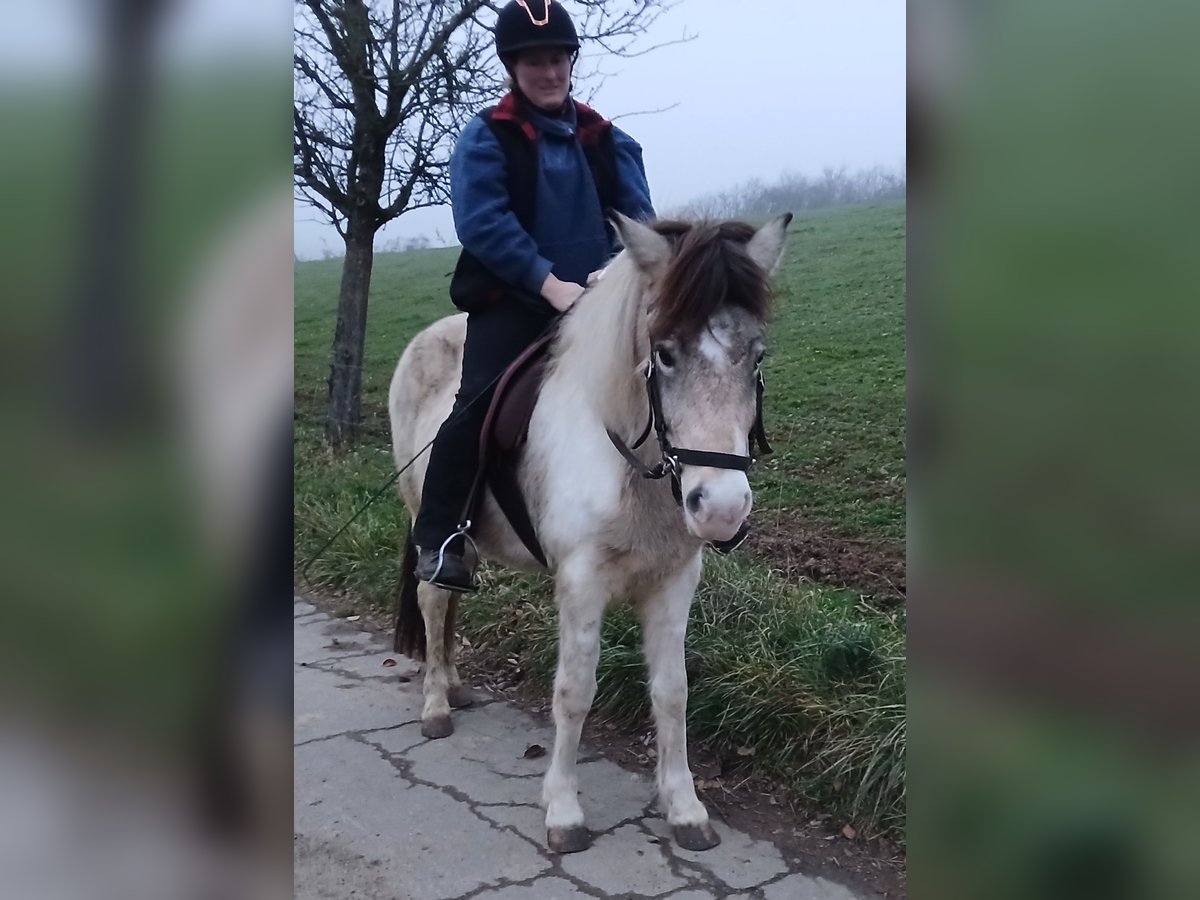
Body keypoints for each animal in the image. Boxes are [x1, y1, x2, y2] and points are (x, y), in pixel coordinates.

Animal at [387, 212, 791, 854]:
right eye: (664, 355)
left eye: (755, 355)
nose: (721, 509)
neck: (631, 463)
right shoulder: (581, 582)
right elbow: (574, 691)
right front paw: (564, 811)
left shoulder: (675, 581)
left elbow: (672, 691)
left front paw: (684, 809)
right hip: (422, 516)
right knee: (432, 599)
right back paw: (434, 706)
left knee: (450, 606)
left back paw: (452, 684)